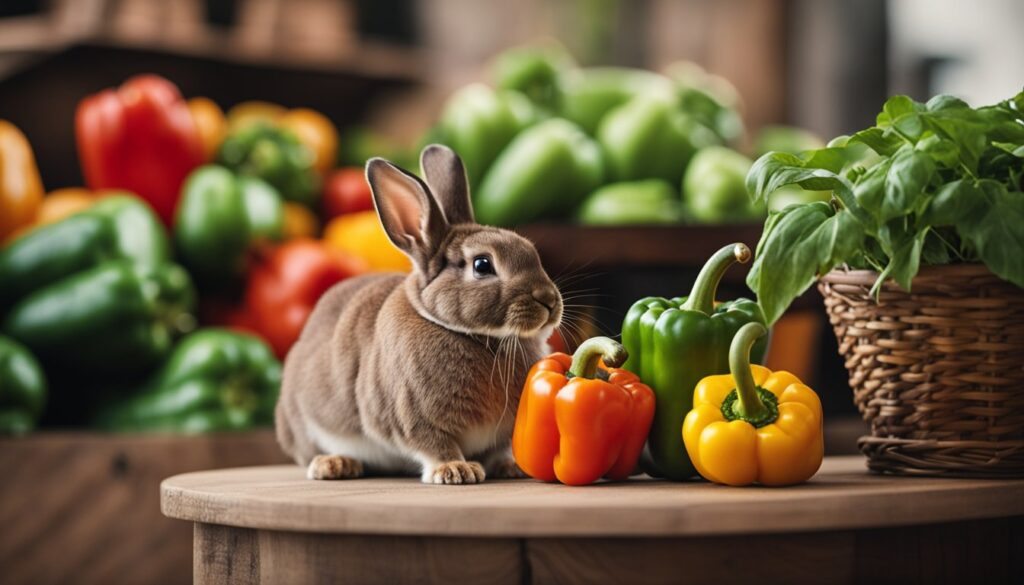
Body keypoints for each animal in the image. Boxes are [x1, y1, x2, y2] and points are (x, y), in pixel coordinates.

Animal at [275, 144, 563, 484]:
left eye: (531, 251)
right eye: (482, 265)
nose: (549, 301)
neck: (479, 337)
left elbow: (497, 449)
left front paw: (509, 466)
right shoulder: (410, 416)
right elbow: (433, 444)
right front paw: (455, 470)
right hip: (301, 423)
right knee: (308, 452)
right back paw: (333, 464)